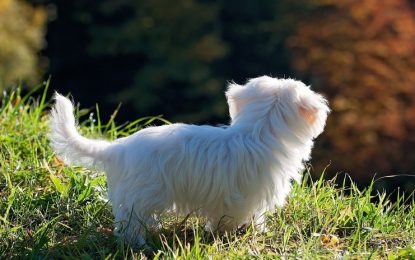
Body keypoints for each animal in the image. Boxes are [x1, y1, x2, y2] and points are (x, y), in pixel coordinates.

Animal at [48, 76, 330, 245]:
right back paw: (138, 244)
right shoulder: (245, 197)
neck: (258, 131)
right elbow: (240, 218)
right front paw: (239, 235)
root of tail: (119, 149)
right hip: (140, 197)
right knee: (130, 224)